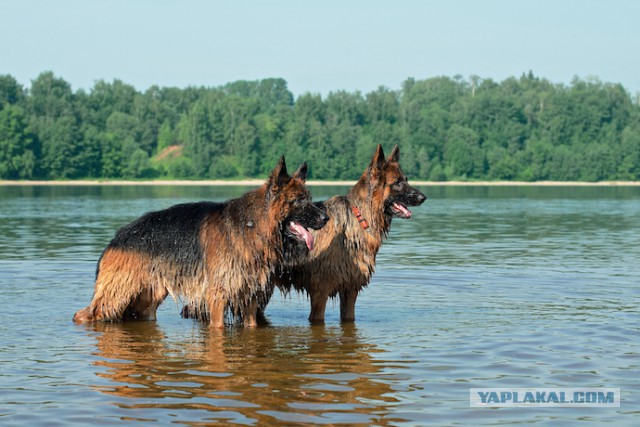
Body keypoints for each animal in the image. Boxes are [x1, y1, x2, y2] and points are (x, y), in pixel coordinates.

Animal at [72, 157, 328, 328]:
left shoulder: (249, 297)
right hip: (116, 296)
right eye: (299, 201)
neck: (253, 225)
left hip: (147, 300)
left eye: (310, 199)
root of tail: (117, 237)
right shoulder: (217, 297)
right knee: (84, 314)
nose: (326, 218)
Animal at [274, 145, 424, 322]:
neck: (360, 217)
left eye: (406, 179)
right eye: (398, 182)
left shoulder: (350, 289)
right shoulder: (320, 291)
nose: (423, 197)